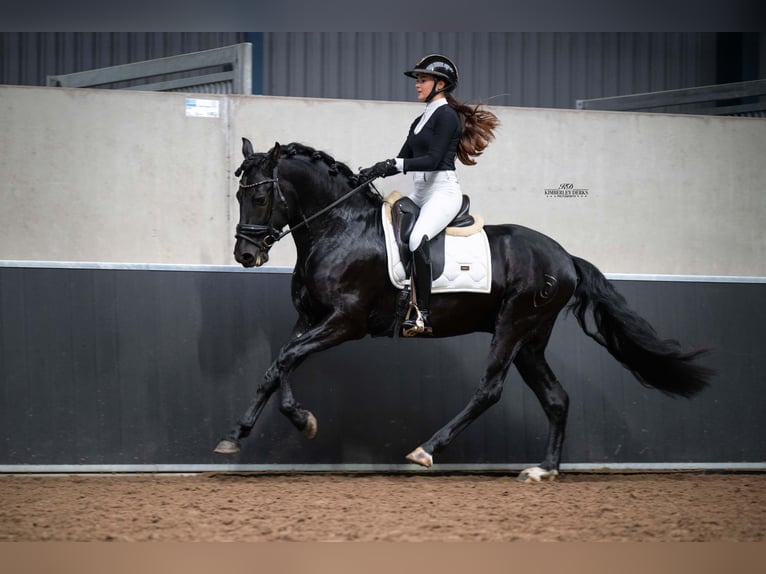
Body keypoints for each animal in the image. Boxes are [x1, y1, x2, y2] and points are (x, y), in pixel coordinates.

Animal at [214, 137, 713, 482]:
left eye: (260, 197)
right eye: (238, 195)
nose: (245, 255)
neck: (340, 228)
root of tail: (565, 257)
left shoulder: (345, 322)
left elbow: (286, 359)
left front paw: (303, 421)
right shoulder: (310, 319)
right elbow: (276, 365)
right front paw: (234, 437)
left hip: (514, 326)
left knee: (489, 390)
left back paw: (426, 450)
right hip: (531, 339)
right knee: (556, 397)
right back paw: (544, 470)